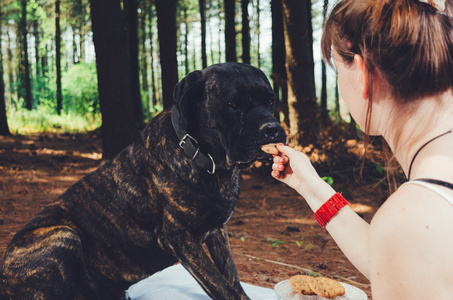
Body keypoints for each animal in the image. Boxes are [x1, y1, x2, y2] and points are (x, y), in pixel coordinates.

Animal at [0, 62, 286, 298]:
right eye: (233, 106)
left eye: (271, 101)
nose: (272, 129)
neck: (206, 159)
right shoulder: (182, 239)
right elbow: (222, 286)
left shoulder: (217, 231)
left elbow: (231, 278)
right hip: (62, 235)